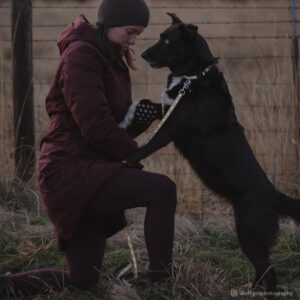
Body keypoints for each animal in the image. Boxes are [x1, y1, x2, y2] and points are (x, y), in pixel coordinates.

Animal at [123, 12, 300, 292]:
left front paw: (125, 160)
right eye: (161, 37)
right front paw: (134, 114)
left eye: (167, 41)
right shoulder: (167, 110)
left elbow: (147, 146)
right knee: (262, 270)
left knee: (270, 273)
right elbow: (152, 105)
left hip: (249, 233)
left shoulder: (170, 128)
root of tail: (274, 195)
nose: (143, 54)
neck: (192, 77)